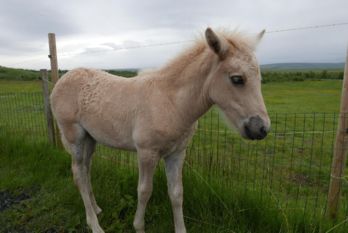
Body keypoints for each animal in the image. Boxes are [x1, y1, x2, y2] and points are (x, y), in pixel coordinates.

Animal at [51, 27, 270, 233]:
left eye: (259, 78)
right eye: (237, 79)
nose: (261, 128)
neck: (171, 102)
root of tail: (61, 81)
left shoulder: (177, 153)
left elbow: (177, 193)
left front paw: (180, 229)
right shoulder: (147, 153)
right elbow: (144, 191)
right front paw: (139, 227)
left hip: (90, 138)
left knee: (86, 170)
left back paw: (96, 209)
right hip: (75, 137)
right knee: (79, 174)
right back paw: (94, 225)